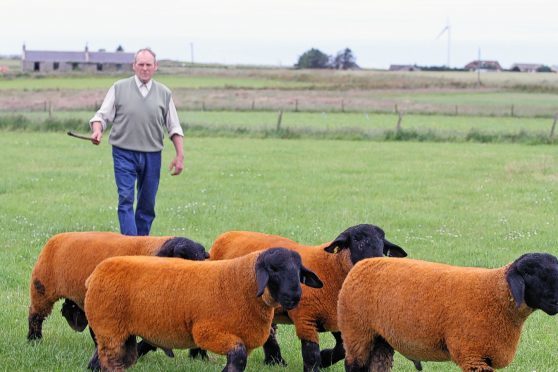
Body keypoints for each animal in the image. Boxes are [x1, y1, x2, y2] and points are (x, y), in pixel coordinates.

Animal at [27, 232, 208, 342]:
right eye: (182, 258)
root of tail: (54, 239)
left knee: (70, 309)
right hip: (42, 288)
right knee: (35, 315)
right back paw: (34, 339)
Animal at [85, 246, 326, 370]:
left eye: (299, 271)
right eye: (273, 269)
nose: (294, 297)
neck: (240, 282)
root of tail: (95, 273)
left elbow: (239, 359)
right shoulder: (207, 332)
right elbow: (238, 355)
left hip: (117, 332)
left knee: (101, 359)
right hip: (109, 328)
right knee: (108, 361)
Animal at [210, 222, 412, 370]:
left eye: (383, 244)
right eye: (357, 240)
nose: (376, 262)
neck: (331, 269)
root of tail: (228, 234)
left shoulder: (334, 318)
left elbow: (340, 350)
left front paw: (325, 358)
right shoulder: (305, 317)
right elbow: (311, 353)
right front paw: (318, 362)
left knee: (270, 331)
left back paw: (275, 361)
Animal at [336, 253, 558, 372]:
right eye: (532, 273)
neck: (496, 295)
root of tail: (361, 264)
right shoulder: (473, 355)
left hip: (380, 339)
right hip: (356, 333)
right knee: (353, 365)